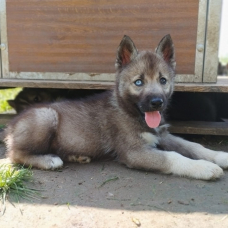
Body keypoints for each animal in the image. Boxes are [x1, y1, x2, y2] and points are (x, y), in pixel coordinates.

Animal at [4, 34, 228, 180]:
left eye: (163, 80)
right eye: (139, 82)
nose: (157, 102)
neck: (131, 112)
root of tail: (12, 126)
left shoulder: (162, 135)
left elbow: (194, 146)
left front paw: (220, 157)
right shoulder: (134, 152)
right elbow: (174, 157)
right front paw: (205, 168)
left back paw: (78, 156)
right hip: (46, 116)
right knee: (15, 155)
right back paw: (49, 160)